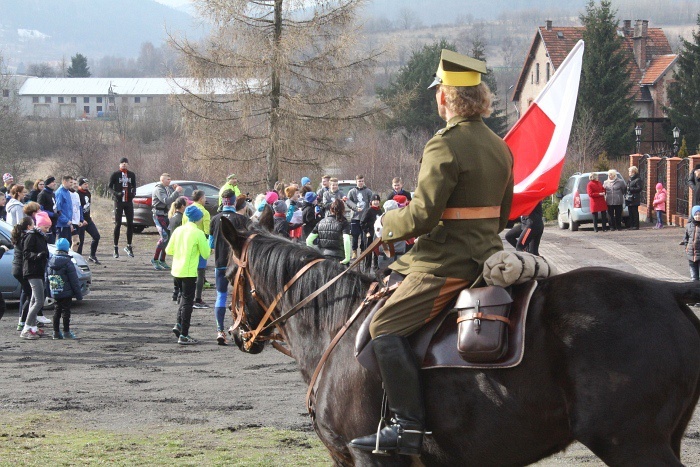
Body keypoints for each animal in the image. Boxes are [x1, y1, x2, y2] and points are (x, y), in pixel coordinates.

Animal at [221, 221, 700, 466]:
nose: (236, 334)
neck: (336, 326)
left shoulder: (367, 459)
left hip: (633, 444)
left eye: (228, 274)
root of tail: (666, 290)